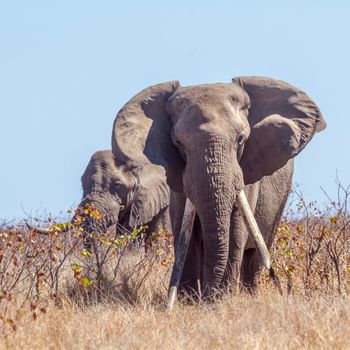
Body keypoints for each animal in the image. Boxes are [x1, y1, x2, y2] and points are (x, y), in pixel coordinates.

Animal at [110, 76, 326, 300]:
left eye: (241, 138)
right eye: (178, 142)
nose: (208, 296)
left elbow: (235, 230)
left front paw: (221, 299)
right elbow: (185, 232)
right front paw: (188, 301)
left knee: (254, 256)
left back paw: (249, 294)